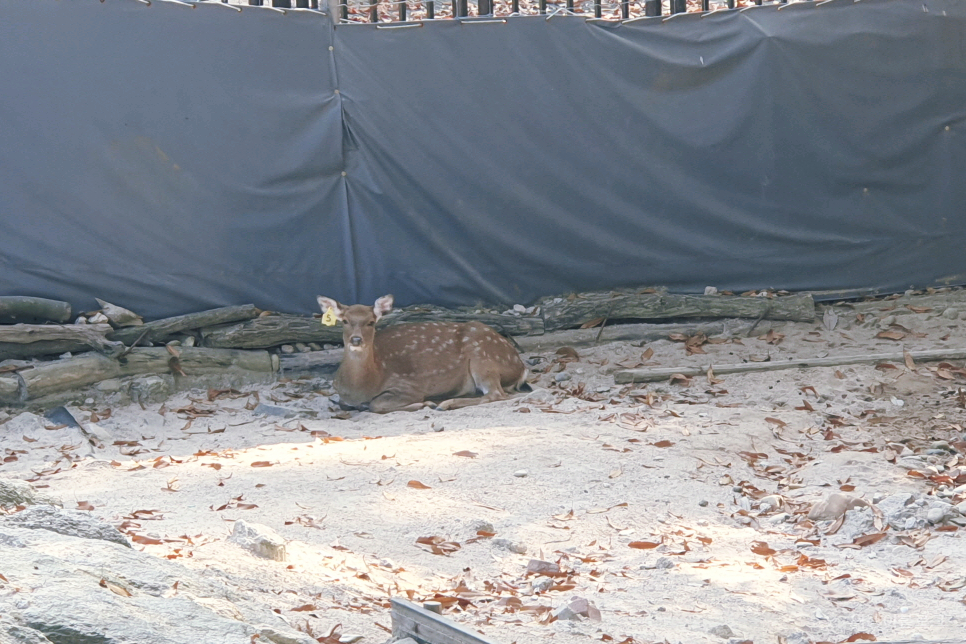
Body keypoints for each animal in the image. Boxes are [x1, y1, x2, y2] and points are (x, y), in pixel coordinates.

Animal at [318, 296, 528, 416]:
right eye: (345, 320)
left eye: (371, 322)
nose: (356, 339)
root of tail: (521, 366)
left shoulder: (408, 385)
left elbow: (375, 405)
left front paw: (425, 403)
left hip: (483, 358)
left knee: (496, 394)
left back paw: (444, 404)